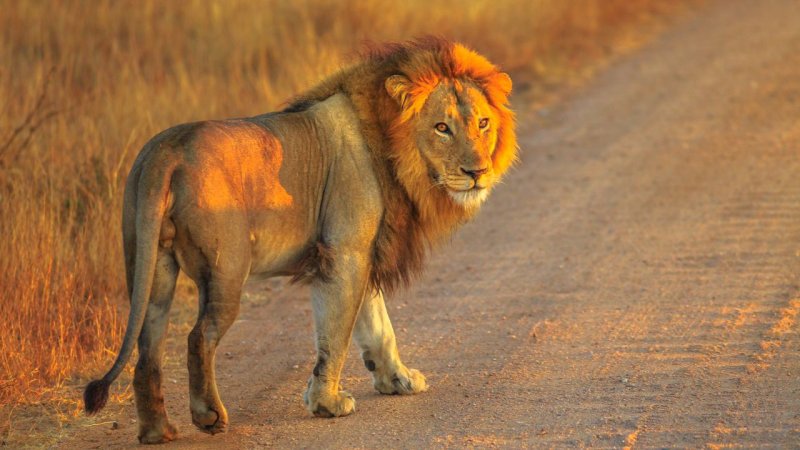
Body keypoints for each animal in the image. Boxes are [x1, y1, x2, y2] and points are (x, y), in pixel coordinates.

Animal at [84, 37, 516, 444]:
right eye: (442, 127)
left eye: (483, 123)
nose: (477, 172)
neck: (393, 147)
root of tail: (166, 151)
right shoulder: (344, 253)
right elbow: (336, 334)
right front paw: (327, 403)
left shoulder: (364, 252)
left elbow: (378, 325)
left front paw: (398, 379)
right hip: (226, 270)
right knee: (198, 337)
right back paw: (208, 416)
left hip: (151, 266)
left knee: (148, 349)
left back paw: (157, 431)